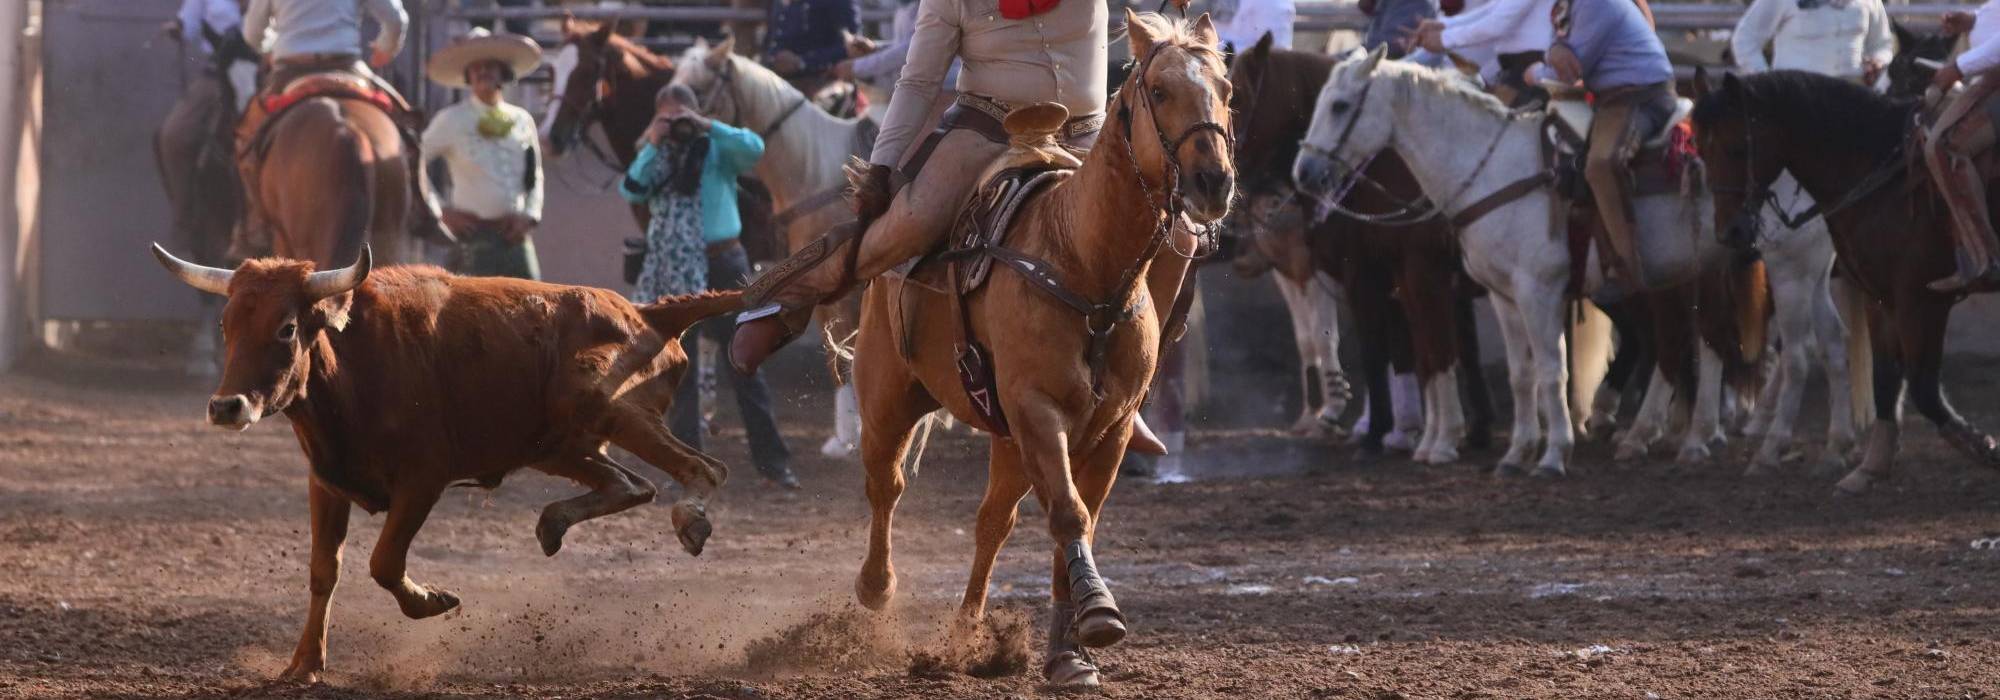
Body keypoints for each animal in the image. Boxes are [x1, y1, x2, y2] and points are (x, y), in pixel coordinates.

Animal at [848, 10, 1224, 688]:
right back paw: (876, 588)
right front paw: (1098, 611)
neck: (1082, 260)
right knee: (885, 485)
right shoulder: (1038, 411)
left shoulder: (1110, 429)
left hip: (1006, 439)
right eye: (1159, 91)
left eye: (1226, 91)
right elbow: (1069, 515)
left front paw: (1069, 651)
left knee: (991, 522)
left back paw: (966, 633)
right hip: (888, 398)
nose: (1215, 180)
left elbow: (1075, 523)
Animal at [1296, 49, 1656, 476]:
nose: (1304, 173)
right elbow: (1505, 369)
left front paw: (1543, 453)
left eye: (1339, 105)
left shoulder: (1517, 287)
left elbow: (1537, 368)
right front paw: (1508, 450)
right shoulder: (1483, 291)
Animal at [1688, 67, 2000, 492]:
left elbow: (1924, 386)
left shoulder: (1922, 300)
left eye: (1736, 148)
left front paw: (1982, 446)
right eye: (1701, 150)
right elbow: (1886, 378)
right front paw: (1870, 466)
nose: (1730, 233)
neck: (1880, 171)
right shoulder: (1881, 298)